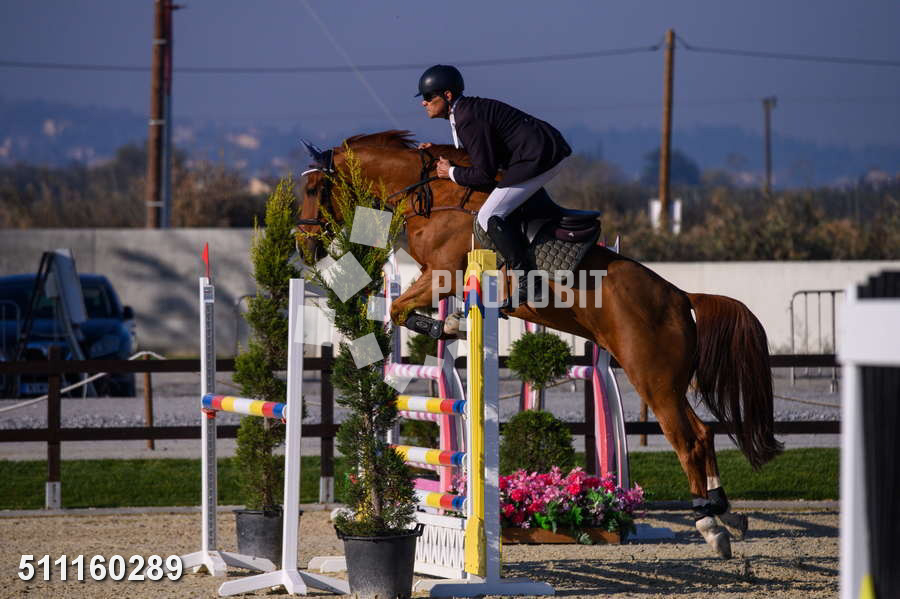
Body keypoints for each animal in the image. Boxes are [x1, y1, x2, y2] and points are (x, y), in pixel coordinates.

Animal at [298, 130, 783, 559]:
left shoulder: (442, 273)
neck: (433, 194)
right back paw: (726, 513)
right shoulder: (433, 276)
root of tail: (682, 297)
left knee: (687, 440)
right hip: (667, 382)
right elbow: (399, 310)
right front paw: (450, 323)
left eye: (314, 188)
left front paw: (449, 325)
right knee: (704, 432)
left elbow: (400, 308)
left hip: (652, 379)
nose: (304, 249)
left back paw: (710, 526)